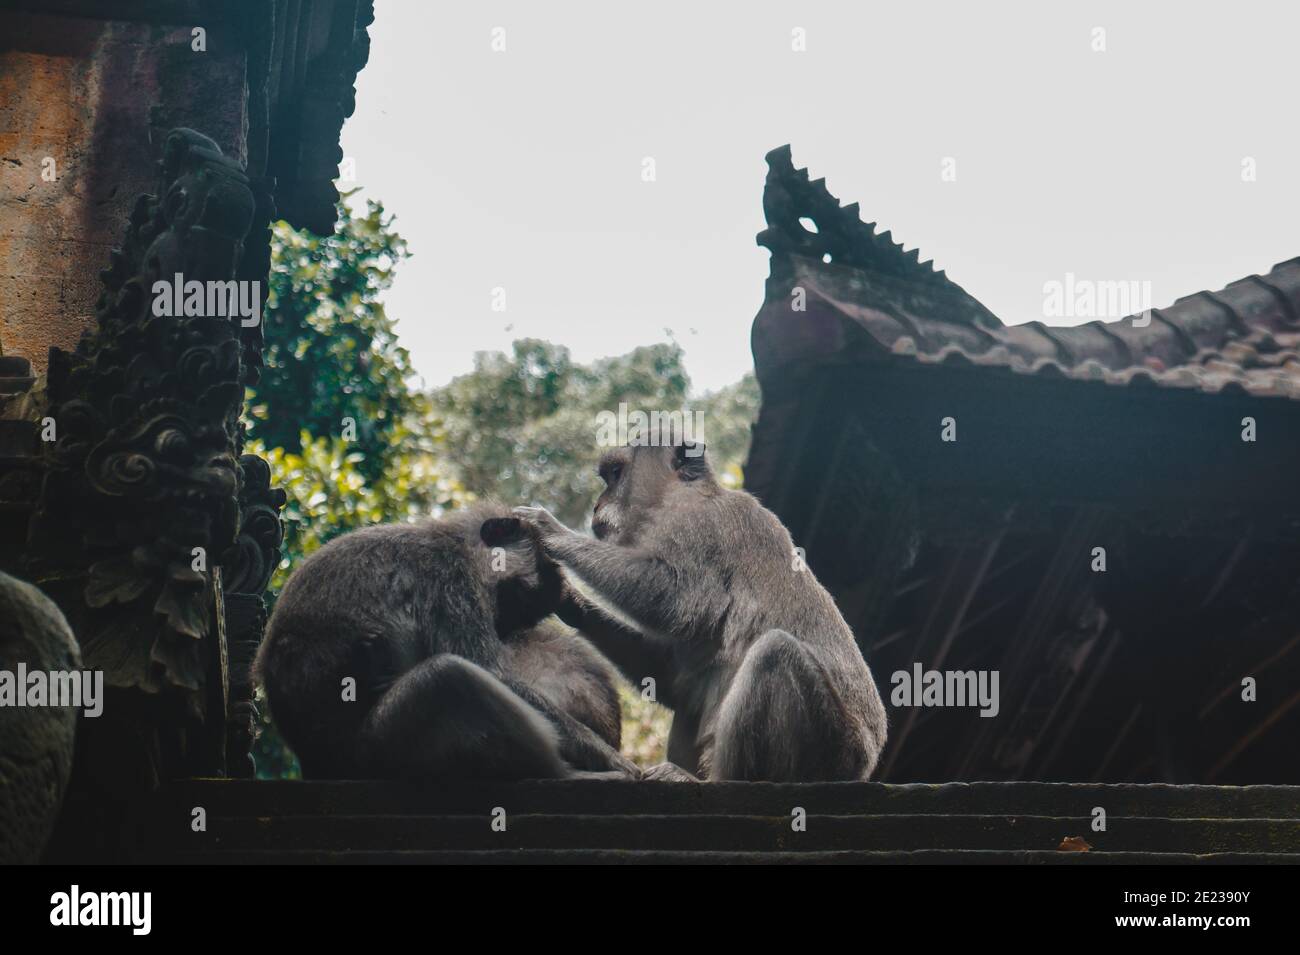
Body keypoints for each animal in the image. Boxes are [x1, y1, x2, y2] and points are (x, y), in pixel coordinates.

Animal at [250, 504, 637, 779]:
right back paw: (562, 773)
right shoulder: (449, 579)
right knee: (449, 677)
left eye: (522, 616)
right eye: (516, 599)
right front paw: (605, 756)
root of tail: (314, 762)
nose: (502, 629)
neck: (455, 543)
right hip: (376, 749)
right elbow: (488, 670)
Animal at [512, 441, 889, 784]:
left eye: (616, 474)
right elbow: (669, 677)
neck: (681, 495)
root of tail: (864, 766)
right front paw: (566, 599)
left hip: (831, 746)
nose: (597, 504)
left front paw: (553, 533)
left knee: (775, 651)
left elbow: (686, 602)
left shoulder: (699, 527)